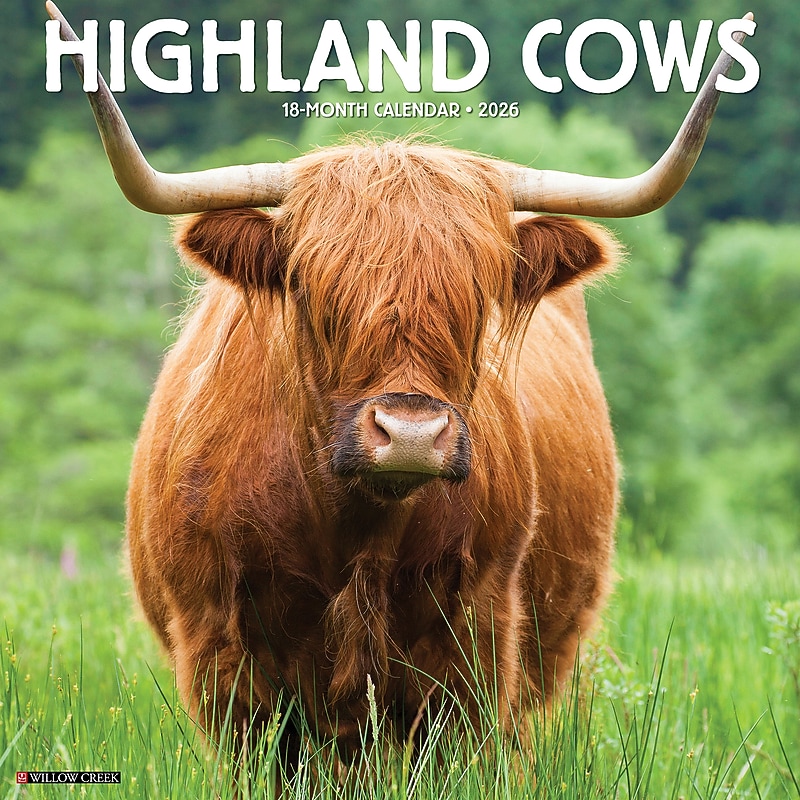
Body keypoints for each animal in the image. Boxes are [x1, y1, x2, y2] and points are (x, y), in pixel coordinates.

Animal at [47, 0, 751, 764]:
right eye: (311, 288)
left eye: (480, 296)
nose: (411, 434)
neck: (357, 530)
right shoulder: (223, 658)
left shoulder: (477, 647)